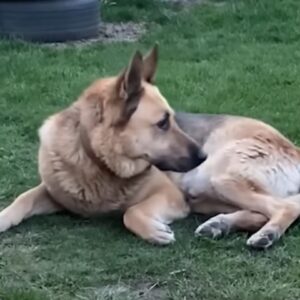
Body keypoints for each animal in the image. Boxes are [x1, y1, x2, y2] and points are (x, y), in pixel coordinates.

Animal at [0, 46, 206, 244]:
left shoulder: (170, 193)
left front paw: (153, 231)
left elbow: (129, 213)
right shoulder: (53, 193)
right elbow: (23, 198)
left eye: (172, 119)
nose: (203, 156)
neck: (99, 163)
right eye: (163, 123)